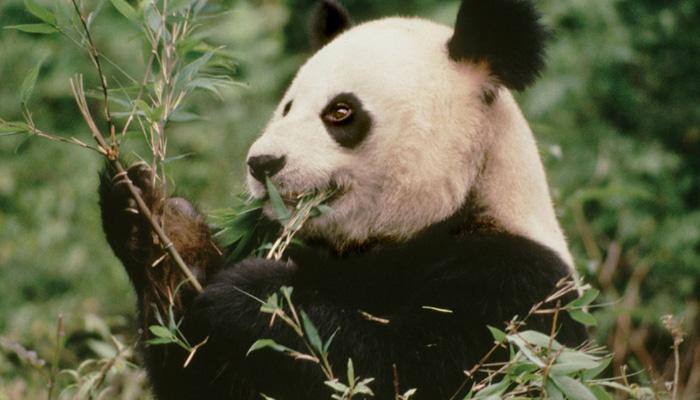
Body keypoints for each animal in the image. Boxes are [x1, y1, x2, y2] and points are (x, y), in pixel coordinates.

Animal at [99, 0, 587, 399]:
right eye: (287, 106)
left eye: (340, 111)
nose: (262, 163)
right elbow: (203, 370)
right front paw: (158, 225)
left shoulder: (513, 290)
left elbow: (399, 372)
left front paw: (256, 295)